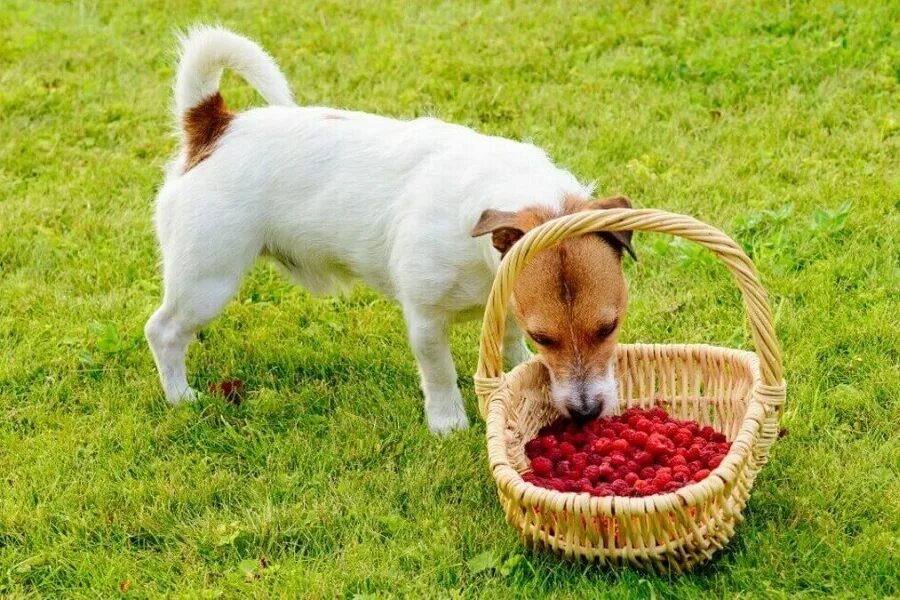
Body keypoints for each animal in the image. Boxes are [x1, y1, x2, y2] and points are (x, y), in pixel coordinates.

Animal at [144, 28, 632, 434]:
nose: (586, 412)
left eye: (610, 327)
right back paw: (181, 396)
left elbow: (510, 347)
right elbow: (438, 373)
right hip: (207, 279)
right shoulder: (425, 320)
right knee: (163, 331)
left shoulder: (508, 299)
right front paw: (448, 424)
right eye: (545, 337)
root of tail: (214, 126)